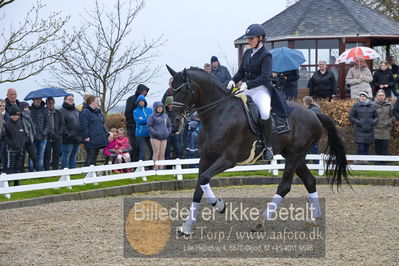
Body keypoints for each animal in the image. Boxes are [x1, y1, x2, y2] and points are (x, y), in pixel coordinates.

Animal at [167, 65, 348, 234]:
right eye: (171, 90)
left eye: (183, 89)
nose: (174, 119)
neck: (220, 113)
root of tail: (314, 115)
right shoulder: (205, 158)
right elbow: (199, 185)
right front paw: (187, 226)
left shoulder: (228, 159)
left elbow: (204, 178)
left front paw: (219, 205)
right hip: (295, 155)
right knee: (309, 181)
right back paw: (313, 218)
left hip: (294, 155)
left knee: (285, 186)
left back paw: (262, 220)